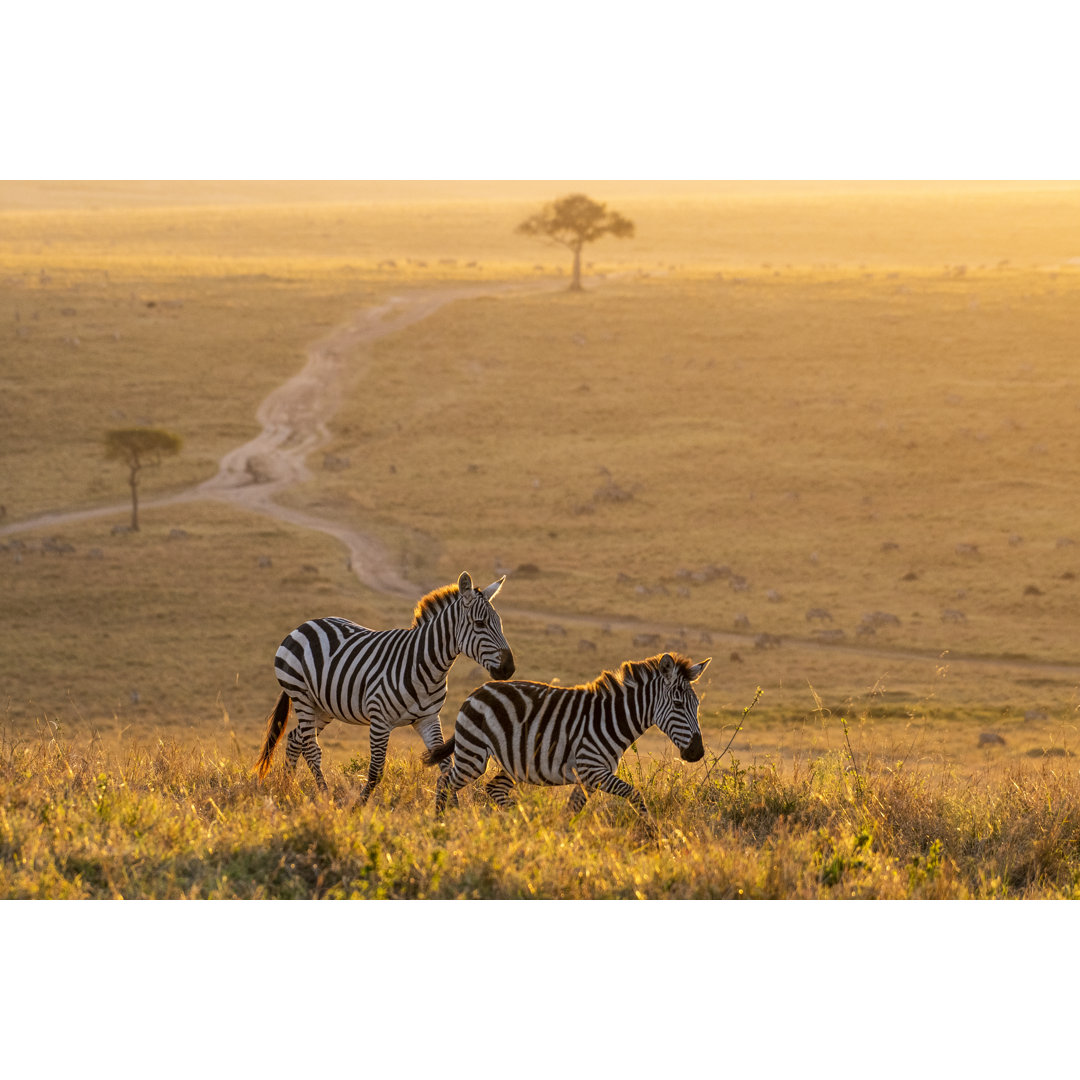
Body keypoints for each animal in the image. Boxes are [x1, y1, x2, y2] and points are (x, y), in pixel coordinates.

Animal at [259, 570, 516, 799]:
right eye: (480, 624)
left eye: (500, 623)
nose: (509, 668)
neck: (425, 665)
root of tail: (305, 625)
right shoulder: (380, 720)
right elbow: (375, 772)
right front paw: (358, 807)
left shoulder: (428, 719)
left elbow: (444, 765)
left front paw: (451, 809)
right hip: (301, 695)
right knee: (311, 748)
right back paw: (324, 796)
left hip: (323, 706)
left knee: (296, 739)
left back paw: (287, 787)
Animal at [421, 648, 708, 816]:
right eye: (678, 704)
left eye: (697, 705)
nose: (697, 752)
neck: (612, 718)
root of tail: (477, 691)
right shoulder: (593, 771)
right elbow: (636, 795)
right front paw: (653, 837)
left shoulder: (588, 779)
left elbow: (571, 812)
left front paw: (563, 840)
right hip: (474, 755)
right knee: (444, 782)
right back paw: (440, 824)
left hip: (513, 763)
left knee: (493, 788)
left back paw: (522, 821)